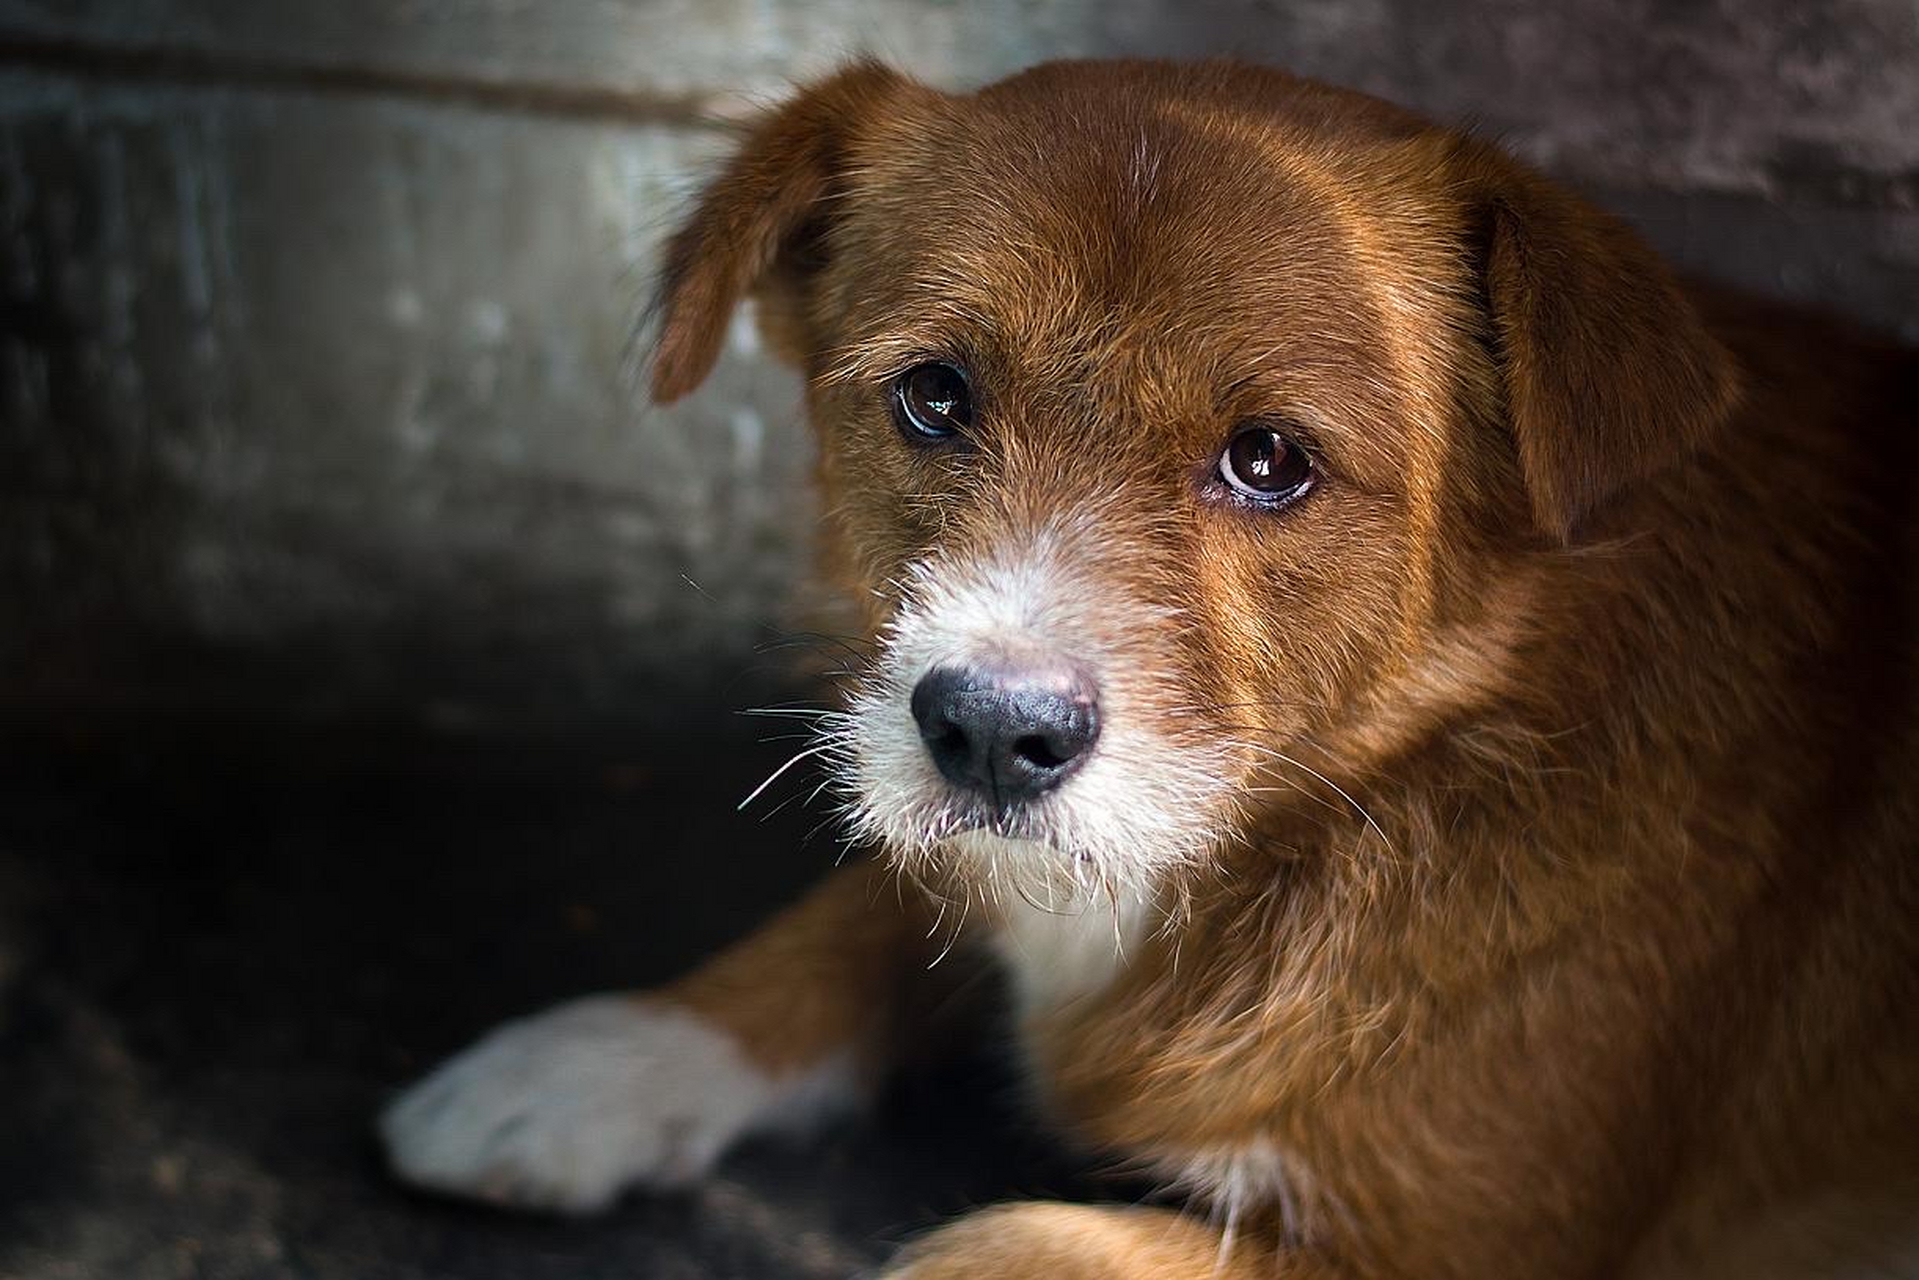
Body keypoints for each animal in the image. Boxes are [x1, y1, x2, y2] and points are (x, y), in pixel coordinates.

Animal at [378, 55, 1919, 1274]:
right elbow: (868, 902)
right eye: (932, 396)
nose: (988, 733)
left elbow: (998, 1244)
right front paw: (598, 1057)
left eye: (1270, 459)